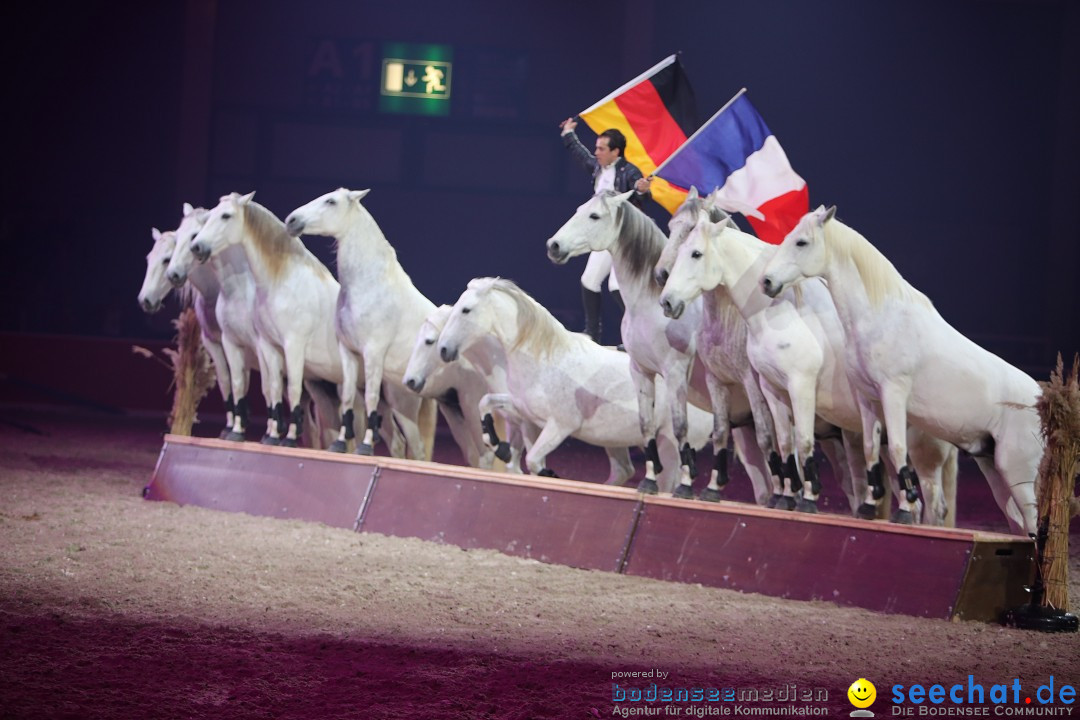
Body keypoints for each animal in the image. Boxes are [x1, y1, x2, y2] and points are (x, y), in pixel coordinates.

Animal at [289, 188, 440, 459]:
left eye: (331, 201)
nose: (292, 220)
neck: (370, 285)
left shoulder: (373, 353)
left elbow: (370, 397)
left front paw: (366, 446)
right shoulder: (348, 352)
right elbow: (349, 397)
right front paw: (339, 444)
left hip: (404, 405)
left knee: (418, 449)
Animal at [434, 276, 712, 490]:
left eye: (466, 310)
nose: (444, 349)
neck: (545, 359)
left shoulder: (559, 426)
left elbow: (533, 460)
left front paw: (549, 475)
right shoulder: (523, 410)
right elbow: (485, 403)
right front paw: (497, 445)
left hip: (670, 445)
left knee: (670, 483)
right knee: (625, 471)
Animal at [656, 209, 954, 524]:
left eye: (696, 253)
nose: (667, 301)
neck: (778, 315)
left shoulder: (795, 387)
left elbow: (799, 443)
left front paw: (806, 501)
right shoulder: (762, 388)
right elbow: (778, 443)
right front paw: (783, 499)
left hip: (919, 451)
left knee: (931, 503)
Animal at [760, 207, 1036, 535]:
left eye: (801, 242)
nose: (766, 281)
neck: (882, 318)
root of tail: (1044, 398)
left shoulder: (893, 394)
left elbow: (896, 449)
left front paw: (904, 512)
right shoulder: (868, 399)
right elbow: (871, 449)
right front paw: (869, 507)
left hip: (1017, 475)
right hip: (993, 469)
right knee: (1020, 524)